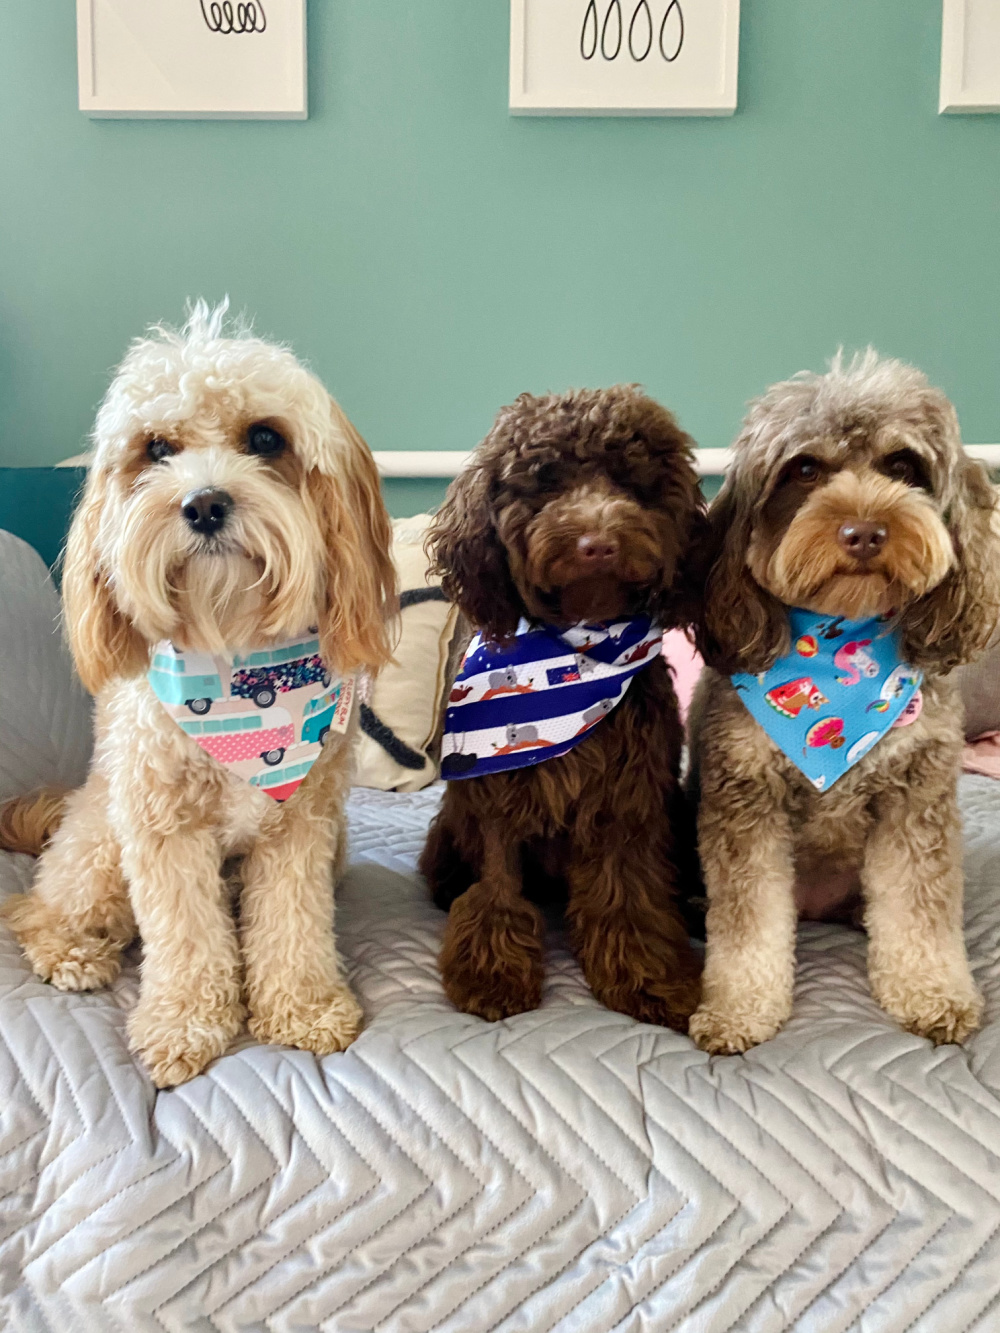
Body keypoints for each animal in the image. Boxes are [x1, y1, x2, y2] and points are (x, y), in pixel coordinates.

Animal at [2, 302, 394, 1082]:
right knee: (35, 910)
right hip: (101, 844)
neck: (234, 648)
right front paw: (184, 1023)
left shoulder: (300, 831)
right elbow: (185, 937)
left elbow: (292, 925)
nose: (205, 503)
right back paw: (73, 950)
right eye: (157, 448)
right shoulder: (163, 831)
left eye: (266, 437)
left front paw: (303, 1007)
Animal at [688, 351, 1000, 1050]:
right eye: (804, 468)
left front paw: (933, 991)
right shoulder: (746, 799)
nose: (864, 532)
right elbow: (748, 923)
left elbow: (918, 909)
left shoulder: (916, 798)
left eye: (902, 466)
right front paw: (739, 1007)